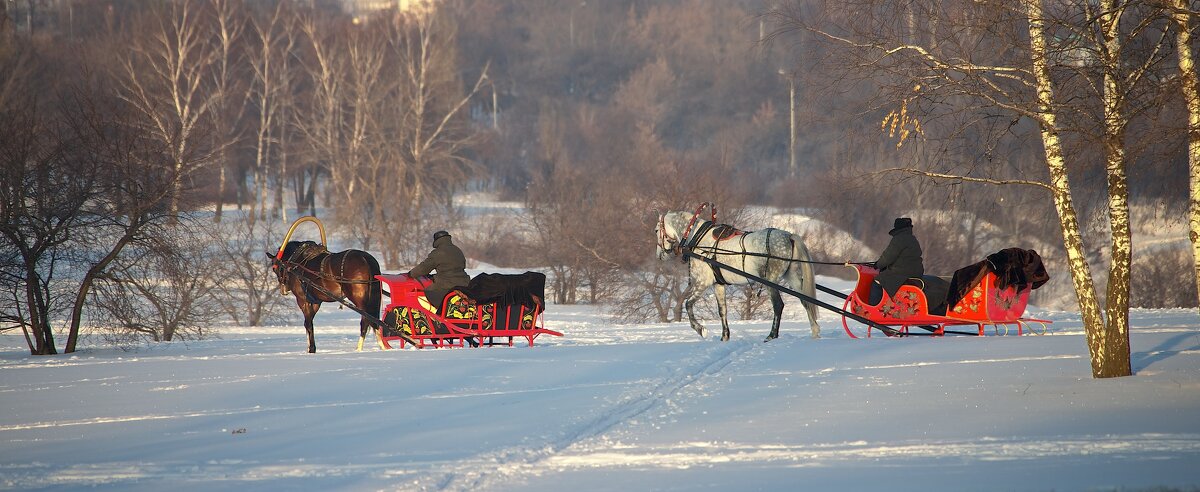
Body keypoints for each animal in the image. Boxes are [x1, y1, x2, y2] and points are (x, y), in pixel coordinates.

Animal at [652, 211, 820, 343]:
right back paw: (815, 331)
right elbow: (722, 310)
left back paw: (771, 335)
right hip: (791, 276)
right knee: (805, 301)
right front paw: (724, 336)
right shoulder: (718, 284)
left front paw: (700, 329)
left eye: (656, 230)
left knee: (778, 305)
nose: (659, 255)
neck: (698, 239)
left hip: (770, 280)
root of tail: (789, 236)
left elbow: (688, 304)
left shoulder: (702, 282)